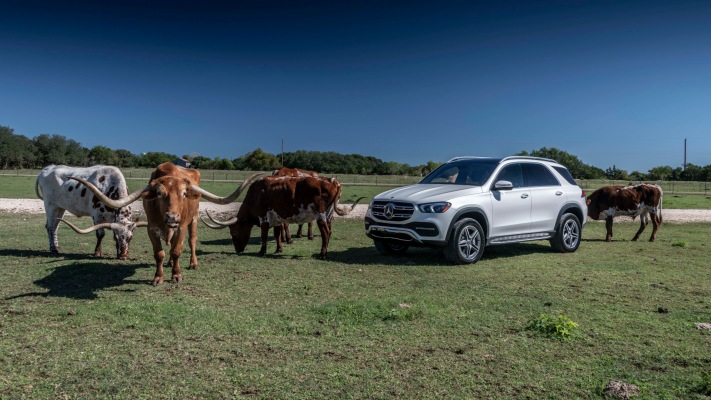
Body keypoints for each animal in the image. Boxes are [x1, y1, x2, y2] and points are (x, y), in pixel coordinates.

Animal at [69, 162, 262, 284]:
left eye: (184, 193)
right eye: (160, 194)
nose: (172, 217)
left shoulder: (181, 227)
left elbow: (176, 250)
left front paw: (176, 275)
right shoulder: (152, 229)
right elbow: (160, 253)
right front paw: (158, 277)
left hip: (193, 219)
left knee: (192, 241)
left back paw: (193, 263)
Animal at [203, 176, 364, 258]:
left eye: (234, 232)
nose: (238, 250)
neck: (256, 194)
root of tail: (333, 182)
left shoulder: (264, 218)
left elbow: (264, 235)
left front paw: (262, 251)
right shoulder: (276, 218)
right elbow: (277, 234)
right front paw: (279, 249)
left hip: (320, 214)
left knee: (326, 232)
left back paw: (322, 254)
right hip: (329, 214)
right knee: (329, 231)